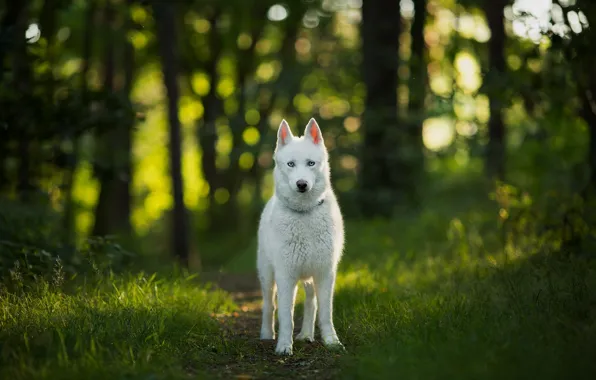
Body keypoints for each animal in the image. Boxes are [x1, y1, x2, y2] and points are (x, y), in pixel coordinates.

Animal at [256, 117, 344, 354]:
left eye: (311, 163)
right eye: (291, 164)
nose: (302, 184)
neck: (305, 214)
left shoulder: (325, 274)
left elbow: (326, 313)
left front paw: (332, 341)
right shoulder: (286, 276)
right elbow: (286, 316)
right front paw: (284, 347)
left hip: (309, 278)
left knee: (311, 303)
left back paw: (306, 335)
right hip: (268, 276)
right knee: (269, 305)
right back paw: (267, 335)